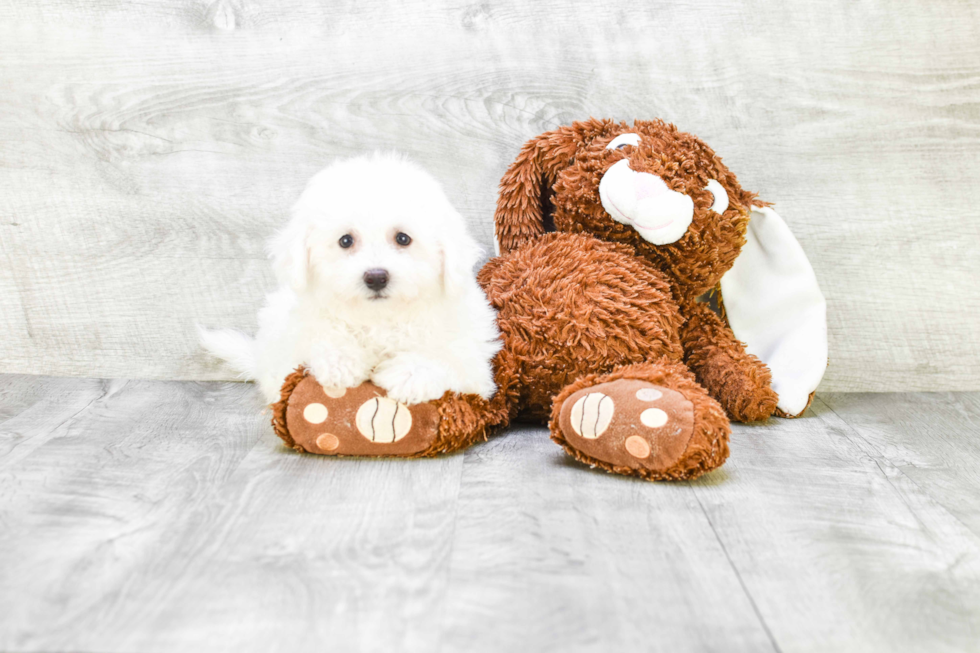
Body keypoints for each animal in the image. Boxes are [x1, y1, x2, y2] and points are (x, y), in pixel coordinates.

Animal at [202, 155, 502, 404]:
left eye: (403, 238)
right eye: (345, 241)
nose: (376, 277)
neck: (379, 320)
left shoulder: (476, 369)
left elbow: (448, 357)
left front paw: (410, 375)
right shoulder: (295, 338)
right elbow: (321, 336)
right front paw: (340, 362)